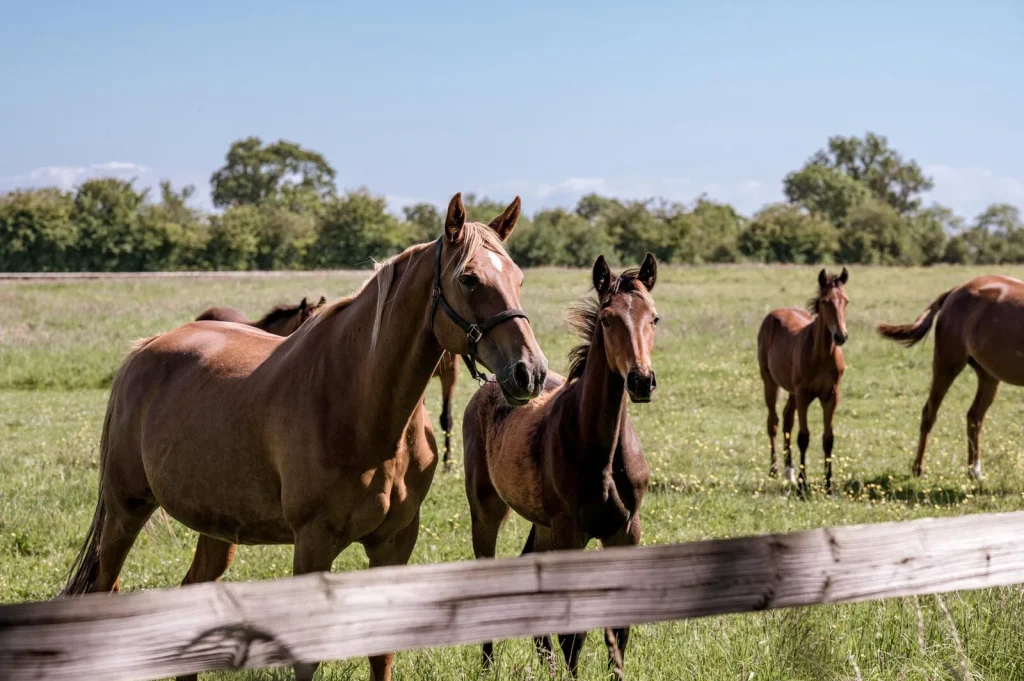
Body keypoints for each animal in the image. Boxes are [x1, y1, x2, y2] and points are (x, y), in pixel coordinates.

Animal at [463, 253, 659, 679]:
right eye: (607, 319)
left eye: (654, 317)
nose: (641, 381)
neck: (601, 449)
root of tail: (494, 384)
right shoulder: (572, 531)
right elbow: (575, 635)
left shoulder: (626, 531)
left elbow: (618, 628)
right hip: (488, 509)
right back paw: (488, 666)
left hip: (543, 524)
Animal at [758, 268, 849, 495]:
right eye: (825, 301)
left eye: (845, 301)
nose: (840, 336)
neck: (821, 354)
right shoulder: (803, 393)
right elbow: (804, 437)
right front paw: (802, 485)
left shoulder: (831, 395)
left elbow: (828, 438)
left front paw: (828, 485)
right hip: (771, 383)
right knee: (773, 421)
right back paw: (774, 470)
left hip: (792, 391)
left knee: (787, 419)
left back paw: (788, 470)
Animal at [877, 275, 1024, 479]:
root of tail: (954, 291)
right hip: (946, 365)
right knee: (929, 413)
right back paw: (918, 469)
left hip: (988, 376)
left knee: (974, 417)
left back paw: (975, 472)